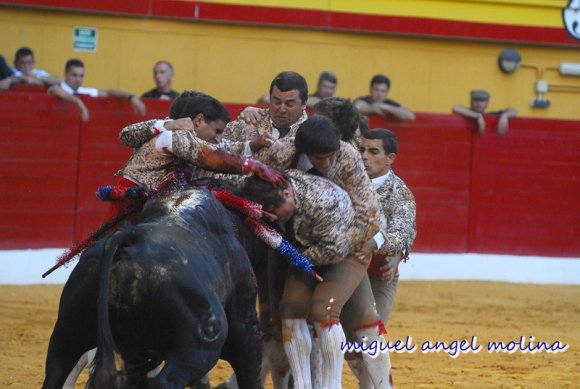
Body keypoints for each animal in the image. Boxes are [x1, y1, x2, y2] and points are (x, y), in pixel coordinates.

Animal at [42, 186, 266, 386]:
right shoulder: (245, 327)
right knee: (165, 382)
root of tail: (129, 242)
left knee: (56, 371)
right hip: (197, 350)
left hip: (67, 333)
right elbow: (250, 366)